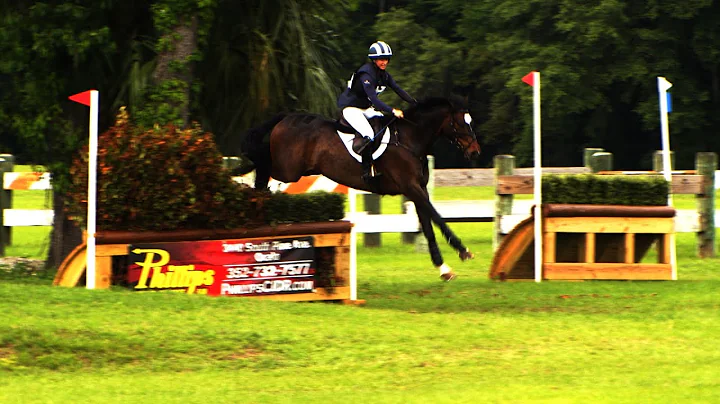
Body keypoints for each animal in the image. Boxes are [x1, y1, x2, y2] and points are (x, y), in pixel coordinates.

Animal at [239, 97, 480, 280]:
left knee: (262, 176)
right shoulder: (411, 188)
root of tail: (285, 118)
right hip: (287, 171)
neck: (409, 140)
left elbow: (429, 226)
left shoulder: (418, 190)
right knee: (262, 171)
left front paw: (443, 268)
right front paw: (463, 251)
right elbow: (438, 217)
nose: (475, 152)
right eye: (461, 124)